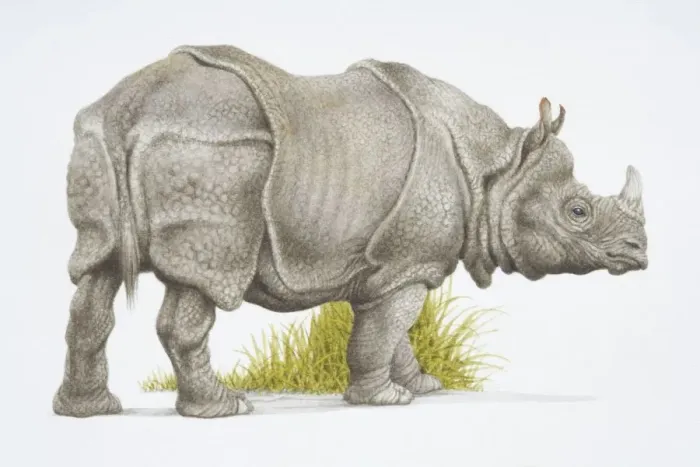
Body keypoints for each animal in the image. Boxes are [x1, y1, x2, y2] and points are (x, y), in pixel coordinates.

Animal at [53, 44, 648, 418]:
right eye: (578, 212)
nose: (640, 253)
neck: (496, 167)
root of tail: (129, 111)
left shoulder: (386, 266)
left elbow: (391, 334)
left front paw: (423, 386)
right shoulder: (406, 264)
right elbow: (383, 331)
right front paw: (388, 400)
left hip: (100, 138)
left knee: (96, 274)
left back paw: (89, 412)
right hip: (215, 157)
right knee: (207, 278)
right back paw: (225, 410)